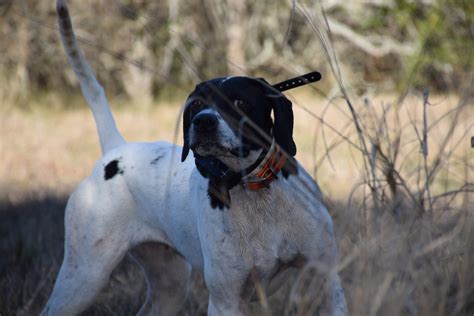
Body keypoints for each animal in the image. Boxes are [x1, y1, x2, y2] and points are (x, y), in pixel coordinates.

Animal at [42, 1, 346, 314]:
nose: (203, 122)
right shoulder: (227, 300)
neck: (256, 190)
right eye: (198, 104)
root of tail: (116, 150)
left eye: (240, 102)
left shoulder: (326, 281)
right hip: (84, 276)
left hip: (170, 285)